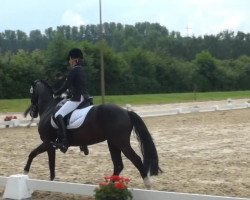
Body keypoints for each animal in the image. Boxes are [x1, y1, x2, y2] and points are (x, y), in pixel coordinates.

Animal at [23, 79, 160, 188]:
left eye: (31, 92)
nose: (32, 112)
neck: (49, 108)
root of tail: (126, 112)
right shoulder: (49, 144)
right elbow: (39, 157)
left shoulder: (48, 142)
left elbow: (39, 157)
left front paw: (26, 172)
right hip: (113, 143)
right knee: (118, 165)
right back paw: (109, 186)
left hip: (121, 143)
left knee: (135, 159)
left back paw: (147, 184)